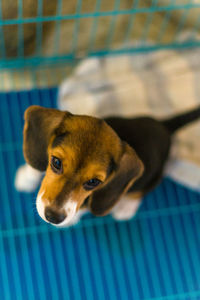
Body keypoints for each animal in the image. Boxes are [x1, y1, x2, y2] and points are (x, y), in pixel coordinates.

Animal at [15, 104, 200, 226]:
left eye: (93, 182)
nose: (53, 217)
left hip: (154, 173)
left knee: (145, 188)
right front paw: (27, 177)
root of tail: (164, 125)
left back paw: (126, 207)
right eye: (56, 162)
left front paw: (70, 221)